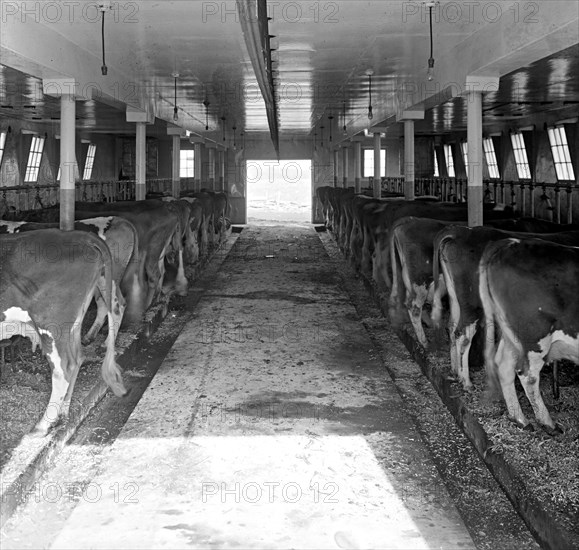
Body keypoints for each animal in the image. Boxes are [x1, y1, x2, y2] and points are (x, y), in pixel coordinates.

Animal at [0, 229, 126, 436]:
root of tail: (82, 236)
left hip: (52, 323)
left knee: (64, 368)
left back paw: (43, 425)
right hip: (73, 323)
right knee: (78, 358)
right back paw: (62, 415)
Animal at [480, 239, 579, 434]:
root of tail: (511, 242)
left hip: (512, 334)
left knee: (504, 365)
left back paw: (519, 419)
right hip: (534, 335)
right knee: (528, 375)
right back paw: (548, 424)